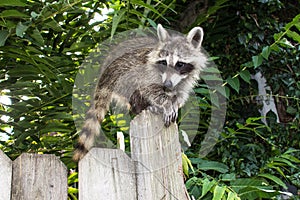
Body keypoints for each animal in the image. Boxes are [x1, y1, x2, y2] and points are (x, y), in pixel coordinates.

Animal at [74, 24, 207, 161]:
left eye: (180, 64)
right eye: (164, 62)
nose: (167, 84)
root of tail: (103, 75)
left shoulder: (184, 80)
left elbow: (180, 94)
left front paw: (174, 103)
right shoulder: (147, 72)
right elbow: (150, 89)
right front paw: (166, 104)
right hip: (119, 74)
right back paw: (142, 107)